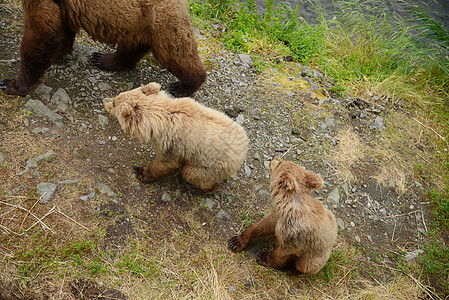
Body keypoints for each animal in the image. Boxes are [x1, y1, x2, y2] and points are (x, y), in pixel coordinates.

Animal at [0, 0, 206, 97]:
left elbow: (41, 31)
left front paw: (12, 83)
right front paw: (60, 52)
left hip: (158, 18)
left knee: (175, 52)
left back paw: (183, 86)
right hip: (135, 23)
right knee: (131, 46)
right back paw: (104, 59)